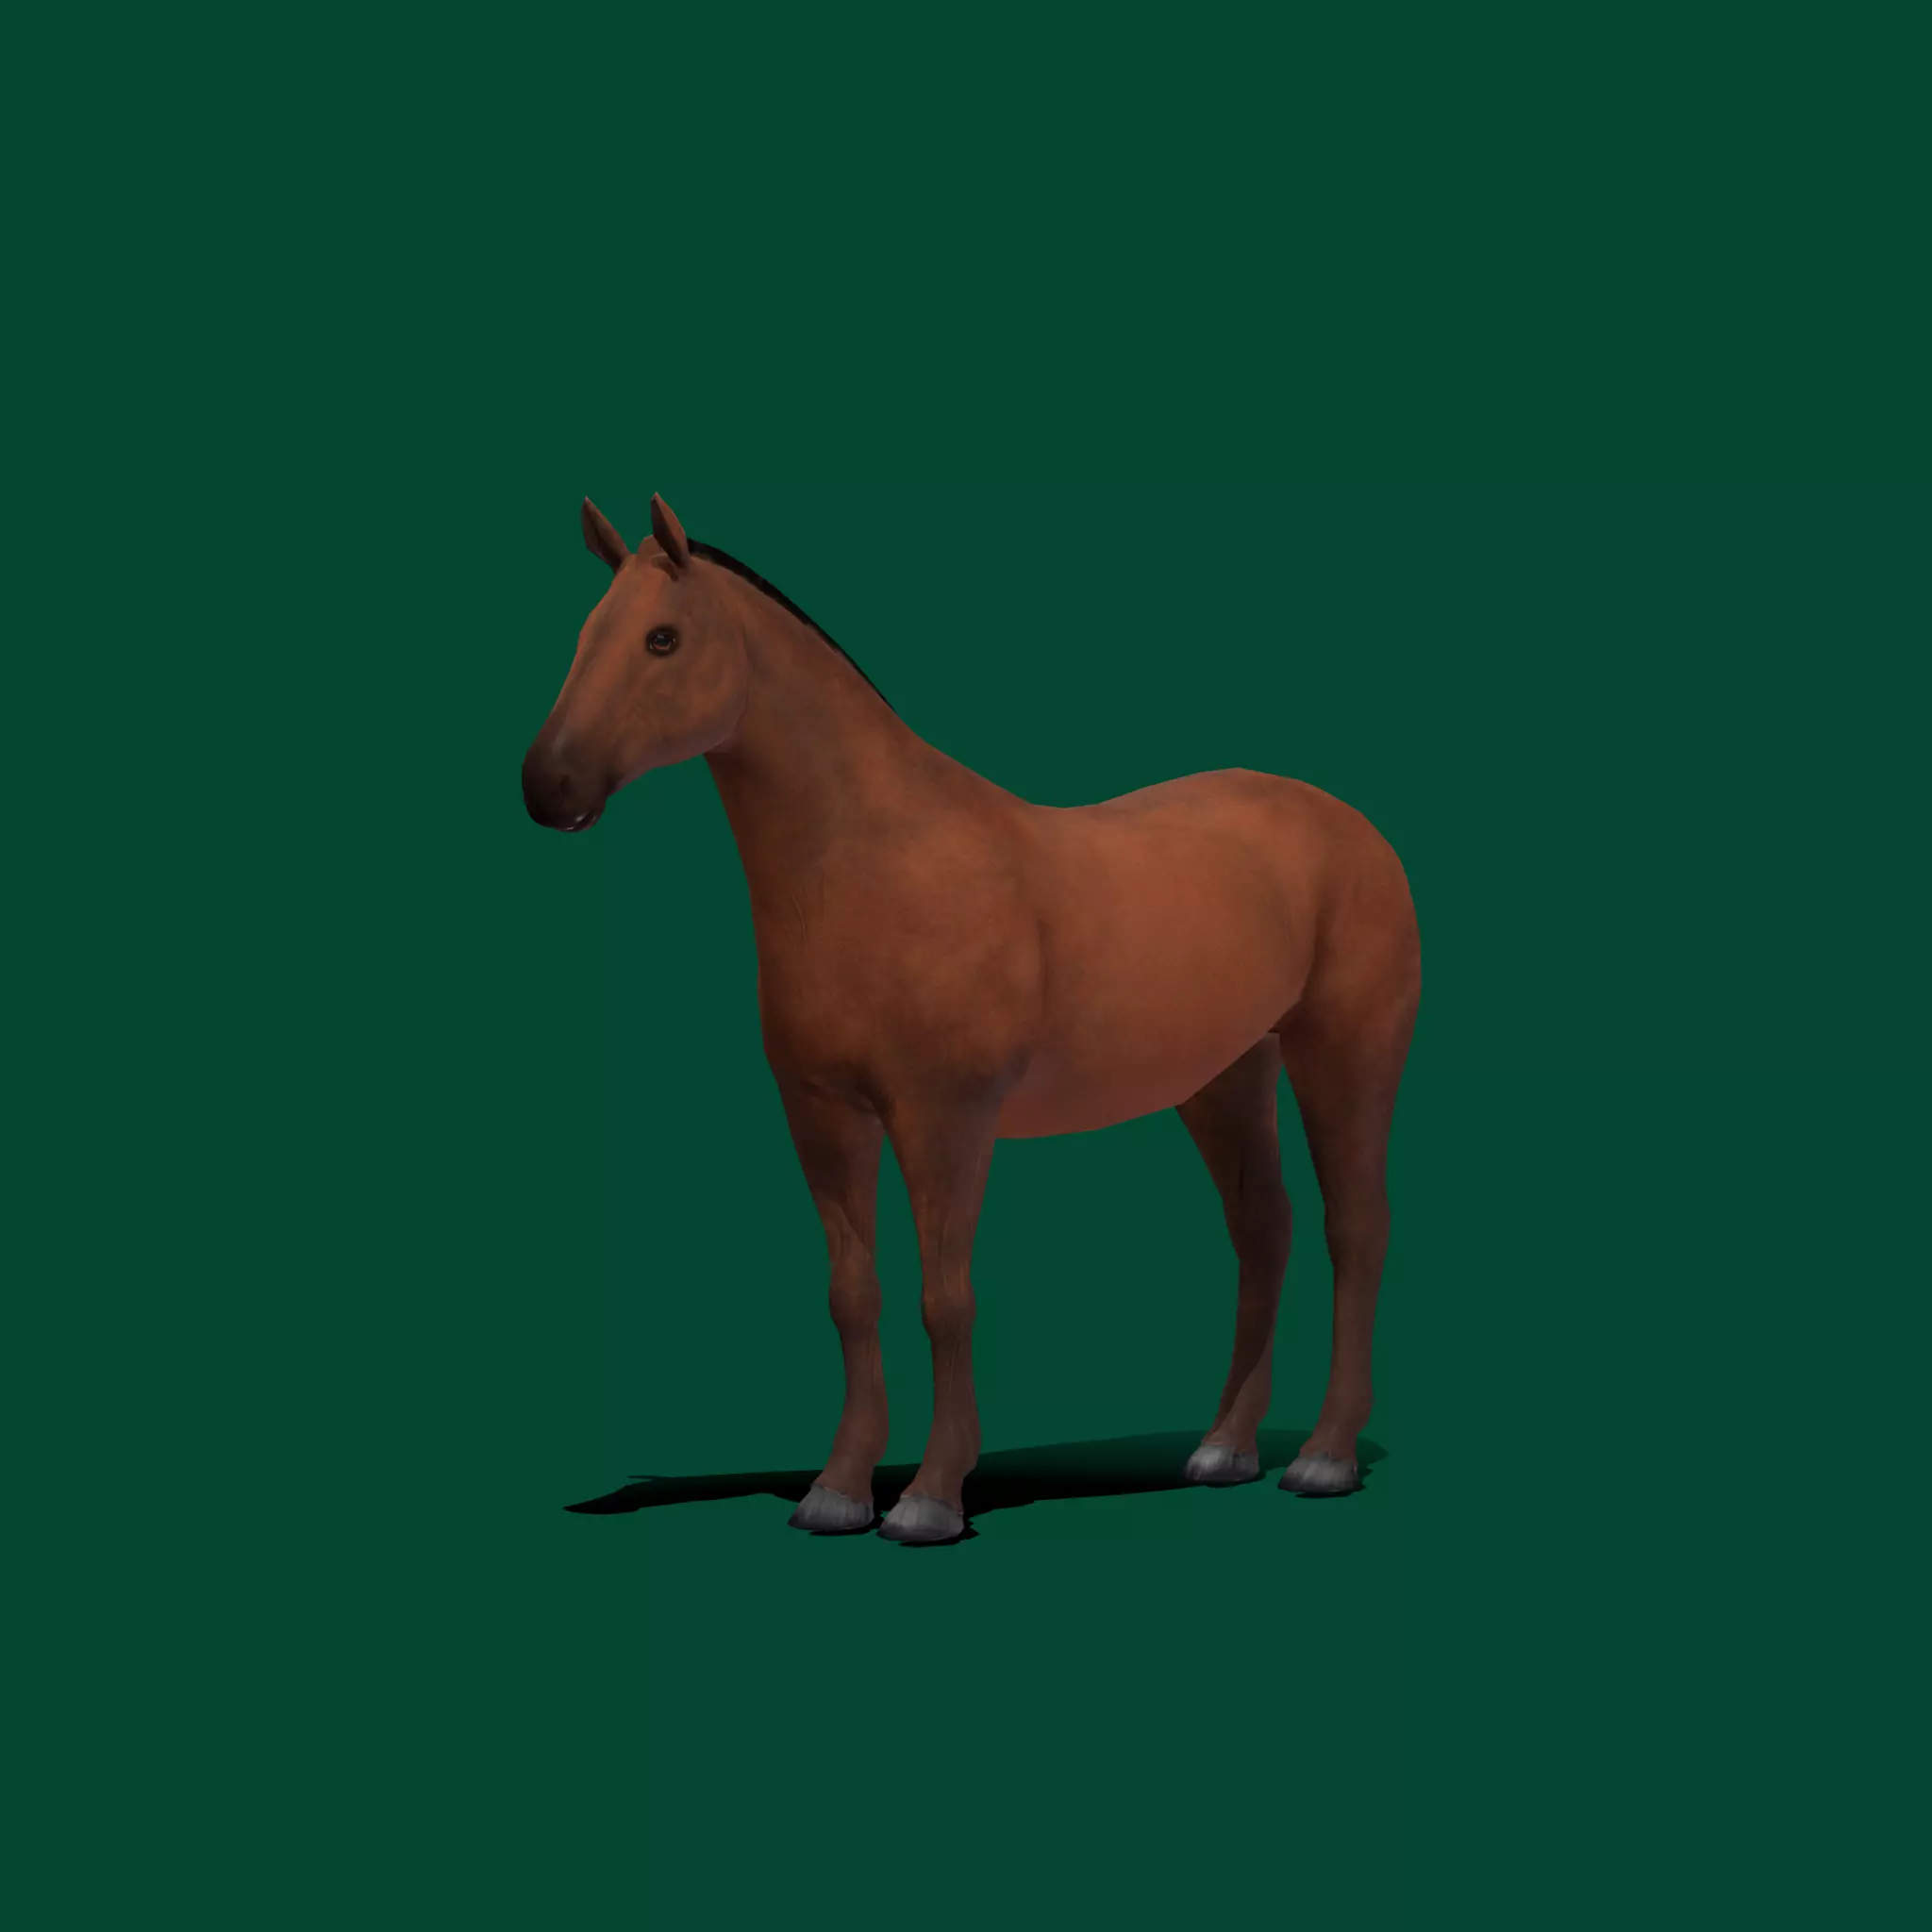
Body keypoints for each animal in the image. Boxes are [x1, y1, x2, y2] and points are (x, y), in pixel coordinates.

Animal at [523, 492, 1421, 1544]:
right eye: (586, 635)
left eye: (662, 639)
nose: (547, 787)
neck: (875, 860)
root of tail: (1346, 823)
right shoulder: (821, 1114)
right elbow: (852, 1294)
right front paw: (838, 1490)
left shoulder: (945, 1117)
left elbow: (944, 1298)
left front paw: (929, 1497)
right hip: (1224, 1078)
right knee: (1261, 1231)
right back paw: (1224, 1448)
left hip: (1344, 1056)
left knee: (1354, 1228)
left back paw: (1323, 1455)